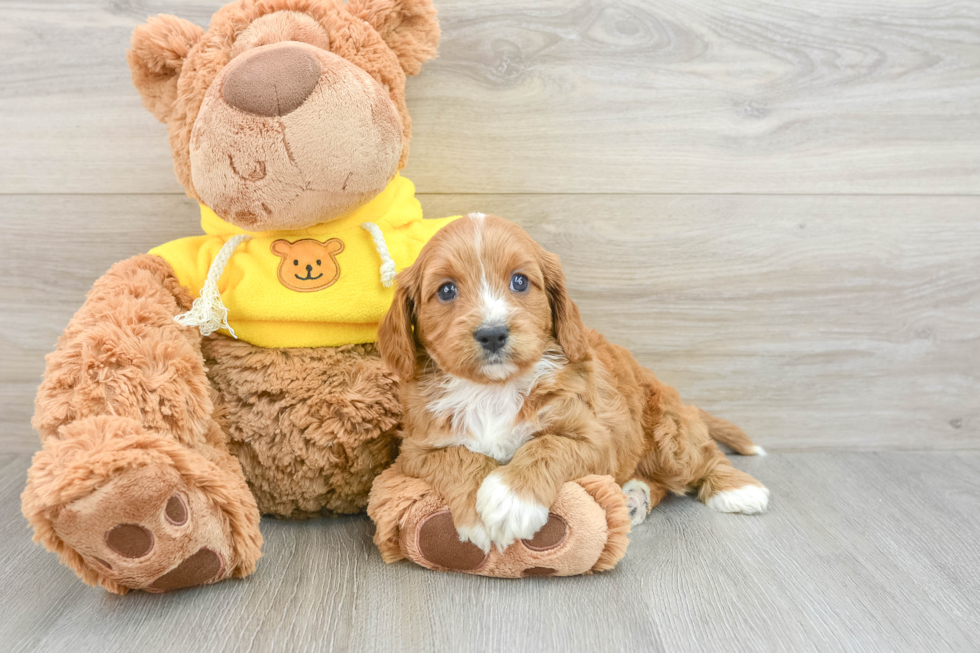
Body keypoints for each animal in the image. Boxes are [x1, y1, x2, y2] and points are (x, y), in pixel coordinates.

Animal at [378, 213, 768, 552]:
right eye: (446, 291)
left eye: (520, 281)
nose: (492, 334)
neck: (493, 389)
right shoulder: (416, 450)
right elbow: (459, 456)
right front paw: (477, 513)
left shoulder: (595, 438)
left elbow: (548, 446)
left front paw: (510, 500)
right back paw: (635, 497)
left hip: (668, 434)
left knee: (703, 457)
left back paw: (737, 489)